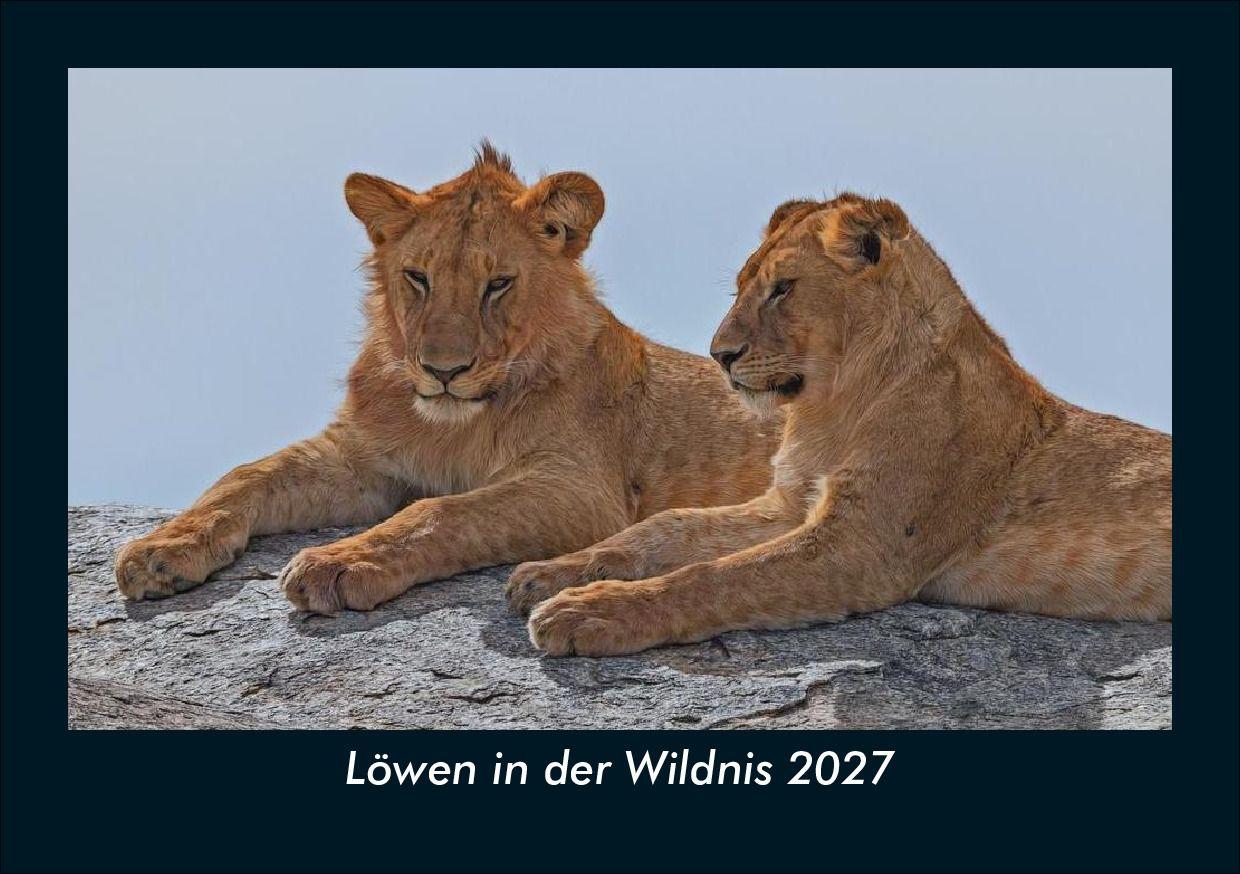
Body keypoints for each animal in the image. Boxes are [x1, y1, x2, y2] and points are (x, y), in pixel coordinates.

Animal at [115, 144, 782, 612]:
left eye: (498, 284)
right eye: (418, 277)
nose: (443, 370)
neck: (450, 424)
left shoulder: (582, 491)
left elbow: (440, 512)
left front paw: (337, 563)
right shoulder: (360, 460)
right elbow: (246, 475)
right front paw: (161, 549)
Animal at [513, 192, 1172, 656]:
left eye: (783, 288)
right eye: (740, 288)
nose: (719, 354)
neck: (833, 405)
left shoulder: (863, 546)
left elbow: (714, 577)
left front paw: (588, 612)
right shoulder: (789, 504)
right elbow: (665, 528)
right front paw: (551, 572)